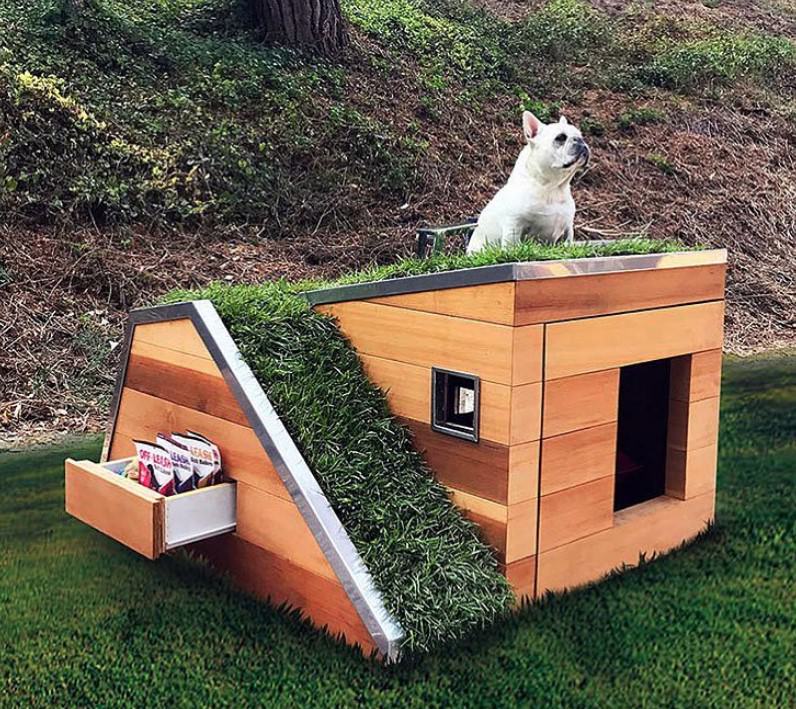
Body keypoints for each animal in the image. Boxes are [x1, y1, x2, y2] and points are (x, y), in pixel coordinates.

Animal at [466, 109, 592, 253]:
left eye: (581, 136)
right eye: (560, 138)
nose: (580, 140)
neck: (552, 188)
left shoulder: (567, 228)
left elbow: (568, 242)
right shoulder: (514, 224)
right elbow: (511, 245)